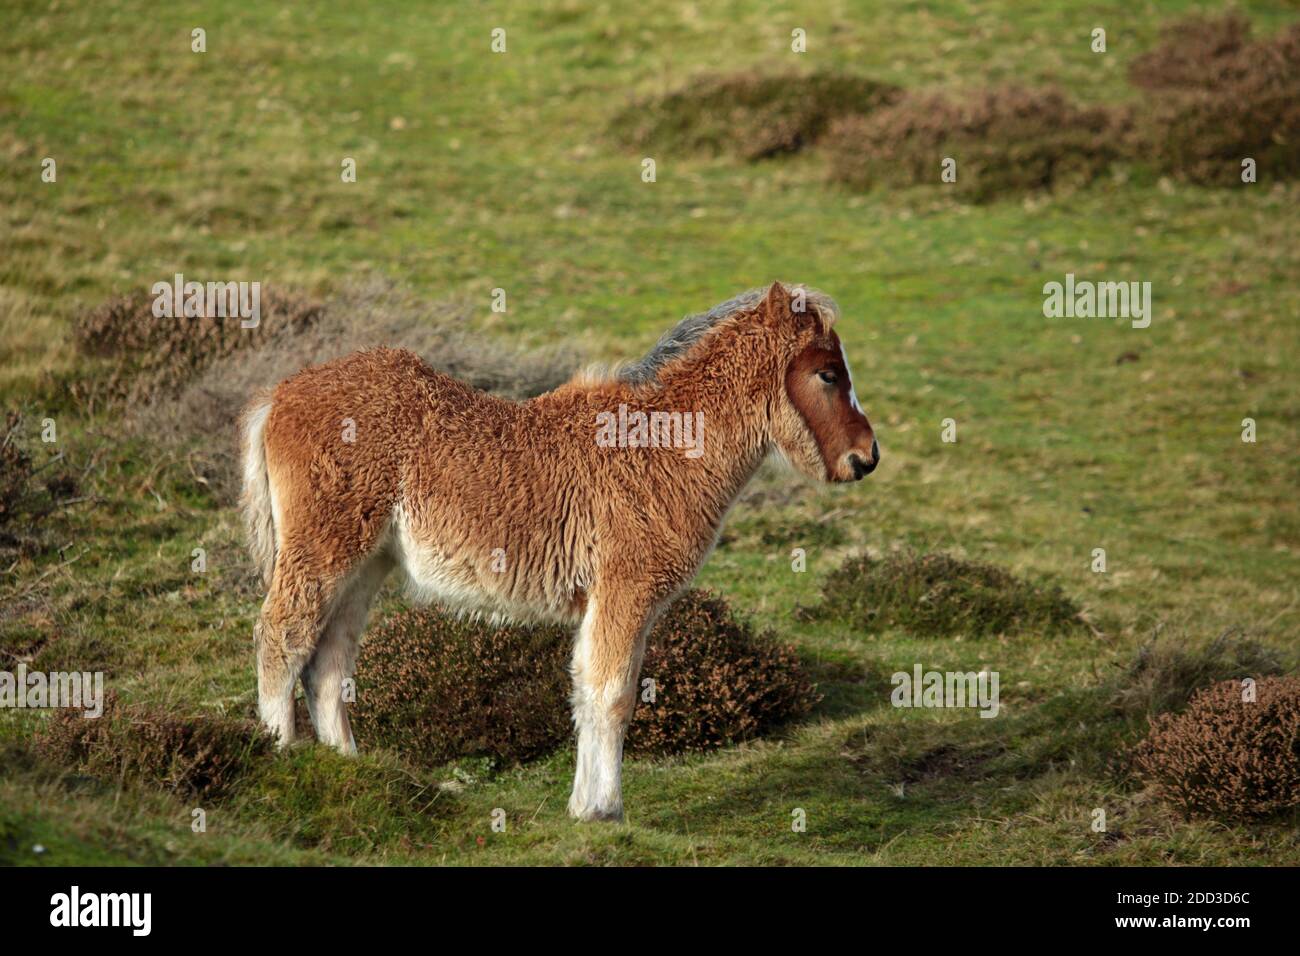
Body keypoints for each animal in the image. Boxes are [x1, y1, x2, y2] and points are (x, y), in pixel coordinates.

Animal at [240, 281, 879, 822]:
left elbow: (588, 692)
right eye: (826, 373)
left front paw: (582, 805)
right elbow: (613, 695)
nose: (866, 457)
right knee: (281, 636)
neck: (658, 447)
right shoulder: (624, 592)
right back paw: (279, 756)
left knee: (328, 664)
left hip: (365, 567)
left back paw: (350, 769)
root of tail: (279, 394)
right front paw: (604, 811)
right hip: (324, 551)